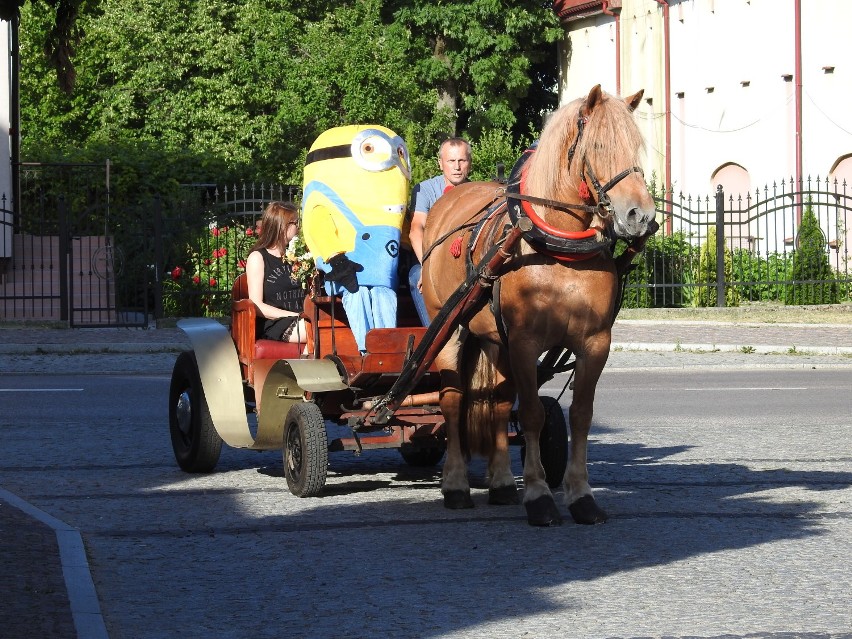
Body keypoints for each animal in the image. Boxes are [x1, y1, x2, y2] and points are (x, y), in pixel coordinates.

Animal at [422, 84, 656, 524]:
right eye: (599, 145)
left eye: (637, 147)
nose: (641, 216)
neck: (560, 249)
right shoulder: (525, 342)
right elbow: (530, 413)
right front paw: (538, 494)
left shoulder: (595, 342)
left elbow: (580, 414)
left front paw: (580, 494)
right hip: (450, 330)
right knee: (453, 400)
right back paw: (456, 483)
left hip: (494, 340)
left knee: (497, 402)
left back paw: (500, 483)